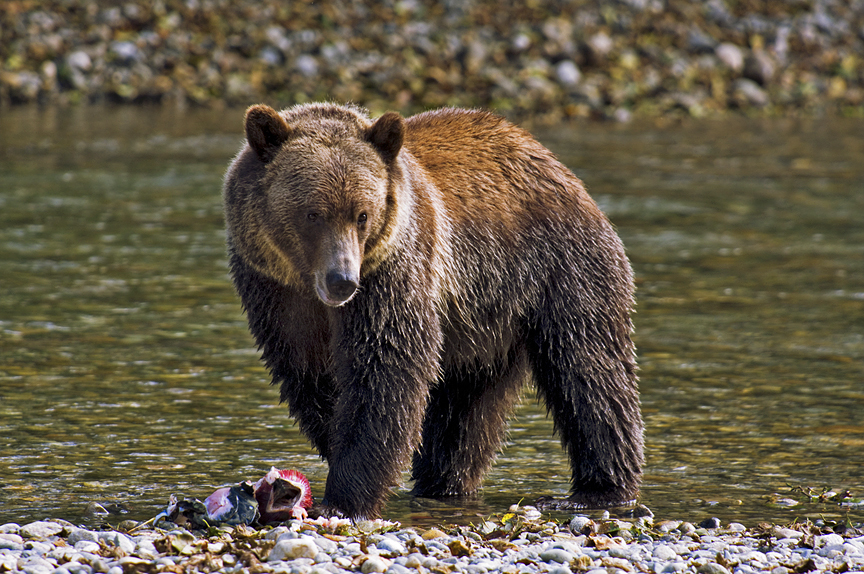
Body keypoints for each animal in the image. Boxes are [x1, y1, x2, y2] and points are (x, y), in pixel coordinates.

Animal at [223, 103, 640, 520]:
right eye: (312, 214)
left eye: (362, 214)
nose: (342, 280)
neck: (308, 284)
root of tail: (555, 165)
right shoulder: (273, 290)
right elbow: (308, 372)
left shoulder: (392, 271)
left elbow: (386, 369)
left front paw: (343, 497)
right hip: (480, 323)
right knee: (464, 411)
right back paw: (443, 484)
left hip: (559, 268)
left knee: (588, 370)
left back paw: (597, 489)